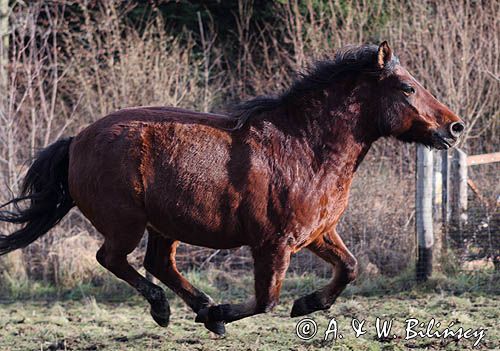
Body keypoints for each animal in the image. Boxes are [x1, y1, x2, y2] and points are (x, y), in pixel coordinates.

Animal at [0, 42, 464, 336]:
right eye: (407, 87)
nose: (454, 127)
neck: (304, 149)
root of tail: (77, 139)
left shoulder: (317, 234)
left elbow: (350, 268)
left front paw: (306, 304)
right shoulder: (274, 245)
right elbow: (266, 301)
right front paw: (232, 310)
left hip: (165, 226)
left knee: (158, 263)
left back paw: (202, 309)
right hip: (126, 224)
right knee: (113, 258)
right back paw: (170, 309)